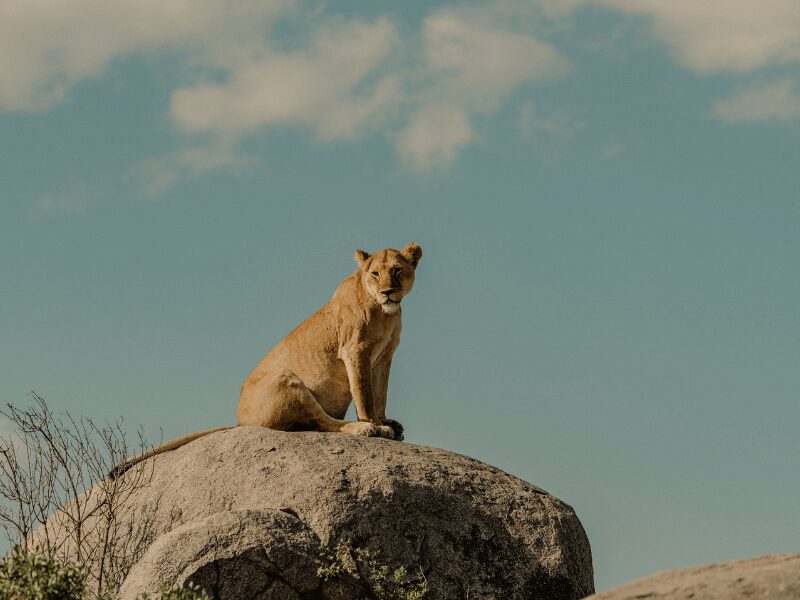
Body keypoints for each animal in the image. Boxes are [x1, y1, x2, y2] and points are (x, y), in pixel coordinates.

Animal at [111, 243, 422, 477]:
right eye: (375, 273)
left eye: (397, 270)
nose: (387, 292)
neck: (386, 313)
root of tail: (240, 422)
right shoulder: (354, 350)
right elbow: (364, 392)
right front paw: (376, 424)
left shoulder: (384, 357)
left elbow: (380, 392)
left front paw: (385, 420)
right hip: (285, 377)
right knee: (325, 423)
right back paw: (362, 428)